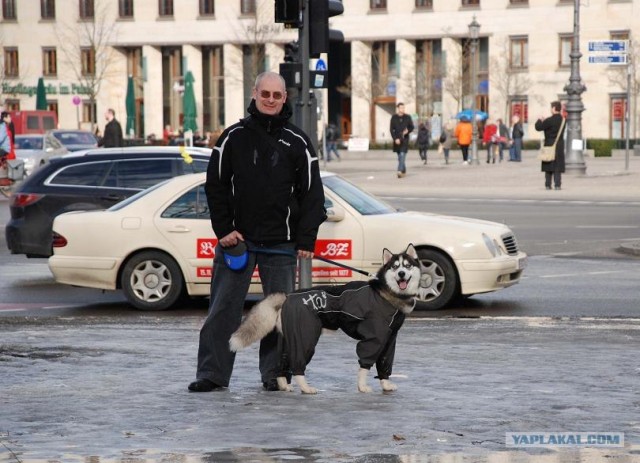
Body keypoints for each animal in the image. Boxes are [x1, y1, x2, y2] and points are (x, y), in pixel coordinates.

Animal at [229, 245, 420, 394]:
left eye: (407, 266)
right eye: (395, 267)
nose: (401, 274)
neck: (386, 293)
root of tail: (288, 296)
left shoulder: (389, 338)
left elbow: (385, 362)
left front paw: (385, 384)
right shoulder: (373, 338)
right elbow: (364, 365)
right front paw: (362, 386)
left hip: (288, 338)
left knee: (282, 363)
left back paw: (284, 386)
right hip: (305, 337)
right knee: (297, 366)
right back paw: (305, 388)